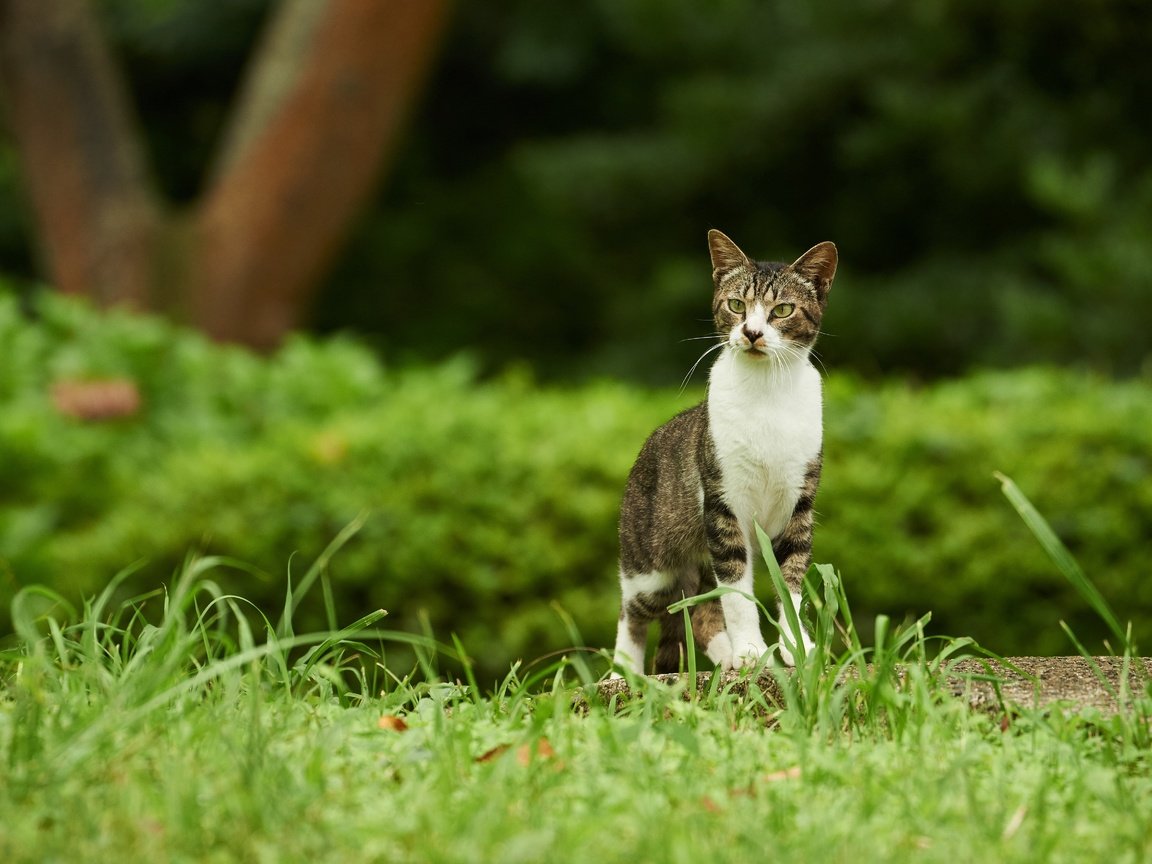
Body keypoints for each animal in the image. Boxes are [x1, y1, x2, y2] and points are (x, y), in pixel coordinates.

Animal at [612, 230, 838, 677]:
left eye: (782, 310)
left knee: (698, 613)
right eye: (736, 305)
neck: (766, 393)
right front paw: (751, 650)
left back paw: (726, 657)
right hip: (651, 564)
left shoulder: (798, 504)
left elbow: (791, 581)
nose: (751, 332)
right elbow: (737, 592)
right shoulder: (723, 504)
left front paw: (797, 648)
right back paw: (622, 673)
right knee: (635, 613)